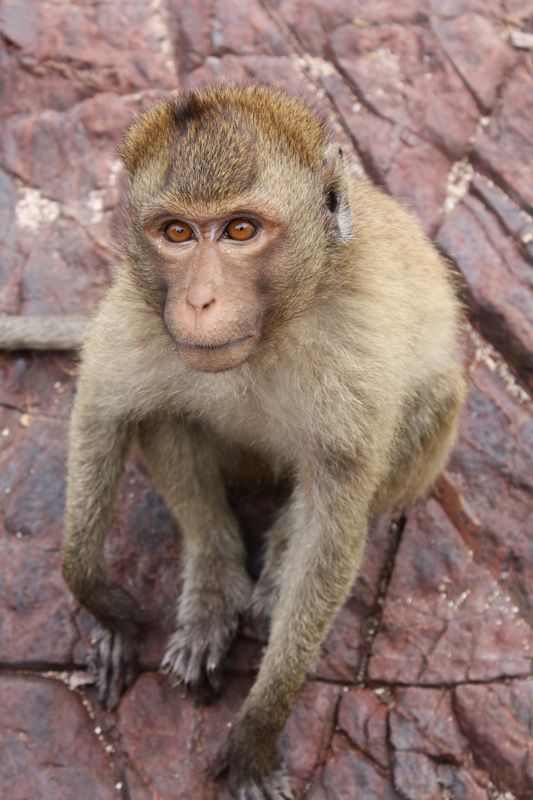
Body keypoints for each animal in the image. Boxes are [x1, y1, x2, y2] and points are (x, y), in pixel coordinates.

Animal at [0, 84, 464, 796]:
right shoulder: (143, 307)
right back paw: (213, 577)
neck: (274, 328)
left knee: (430, 403)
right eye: (177, 233)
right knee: (165, 413)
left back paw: (278, 558)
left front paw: (258, 729)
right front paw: (106, 605)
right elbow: (104, 408)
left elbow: (335, 522)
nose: (200, 302)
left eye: (241, 230)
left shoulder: (356, 347)